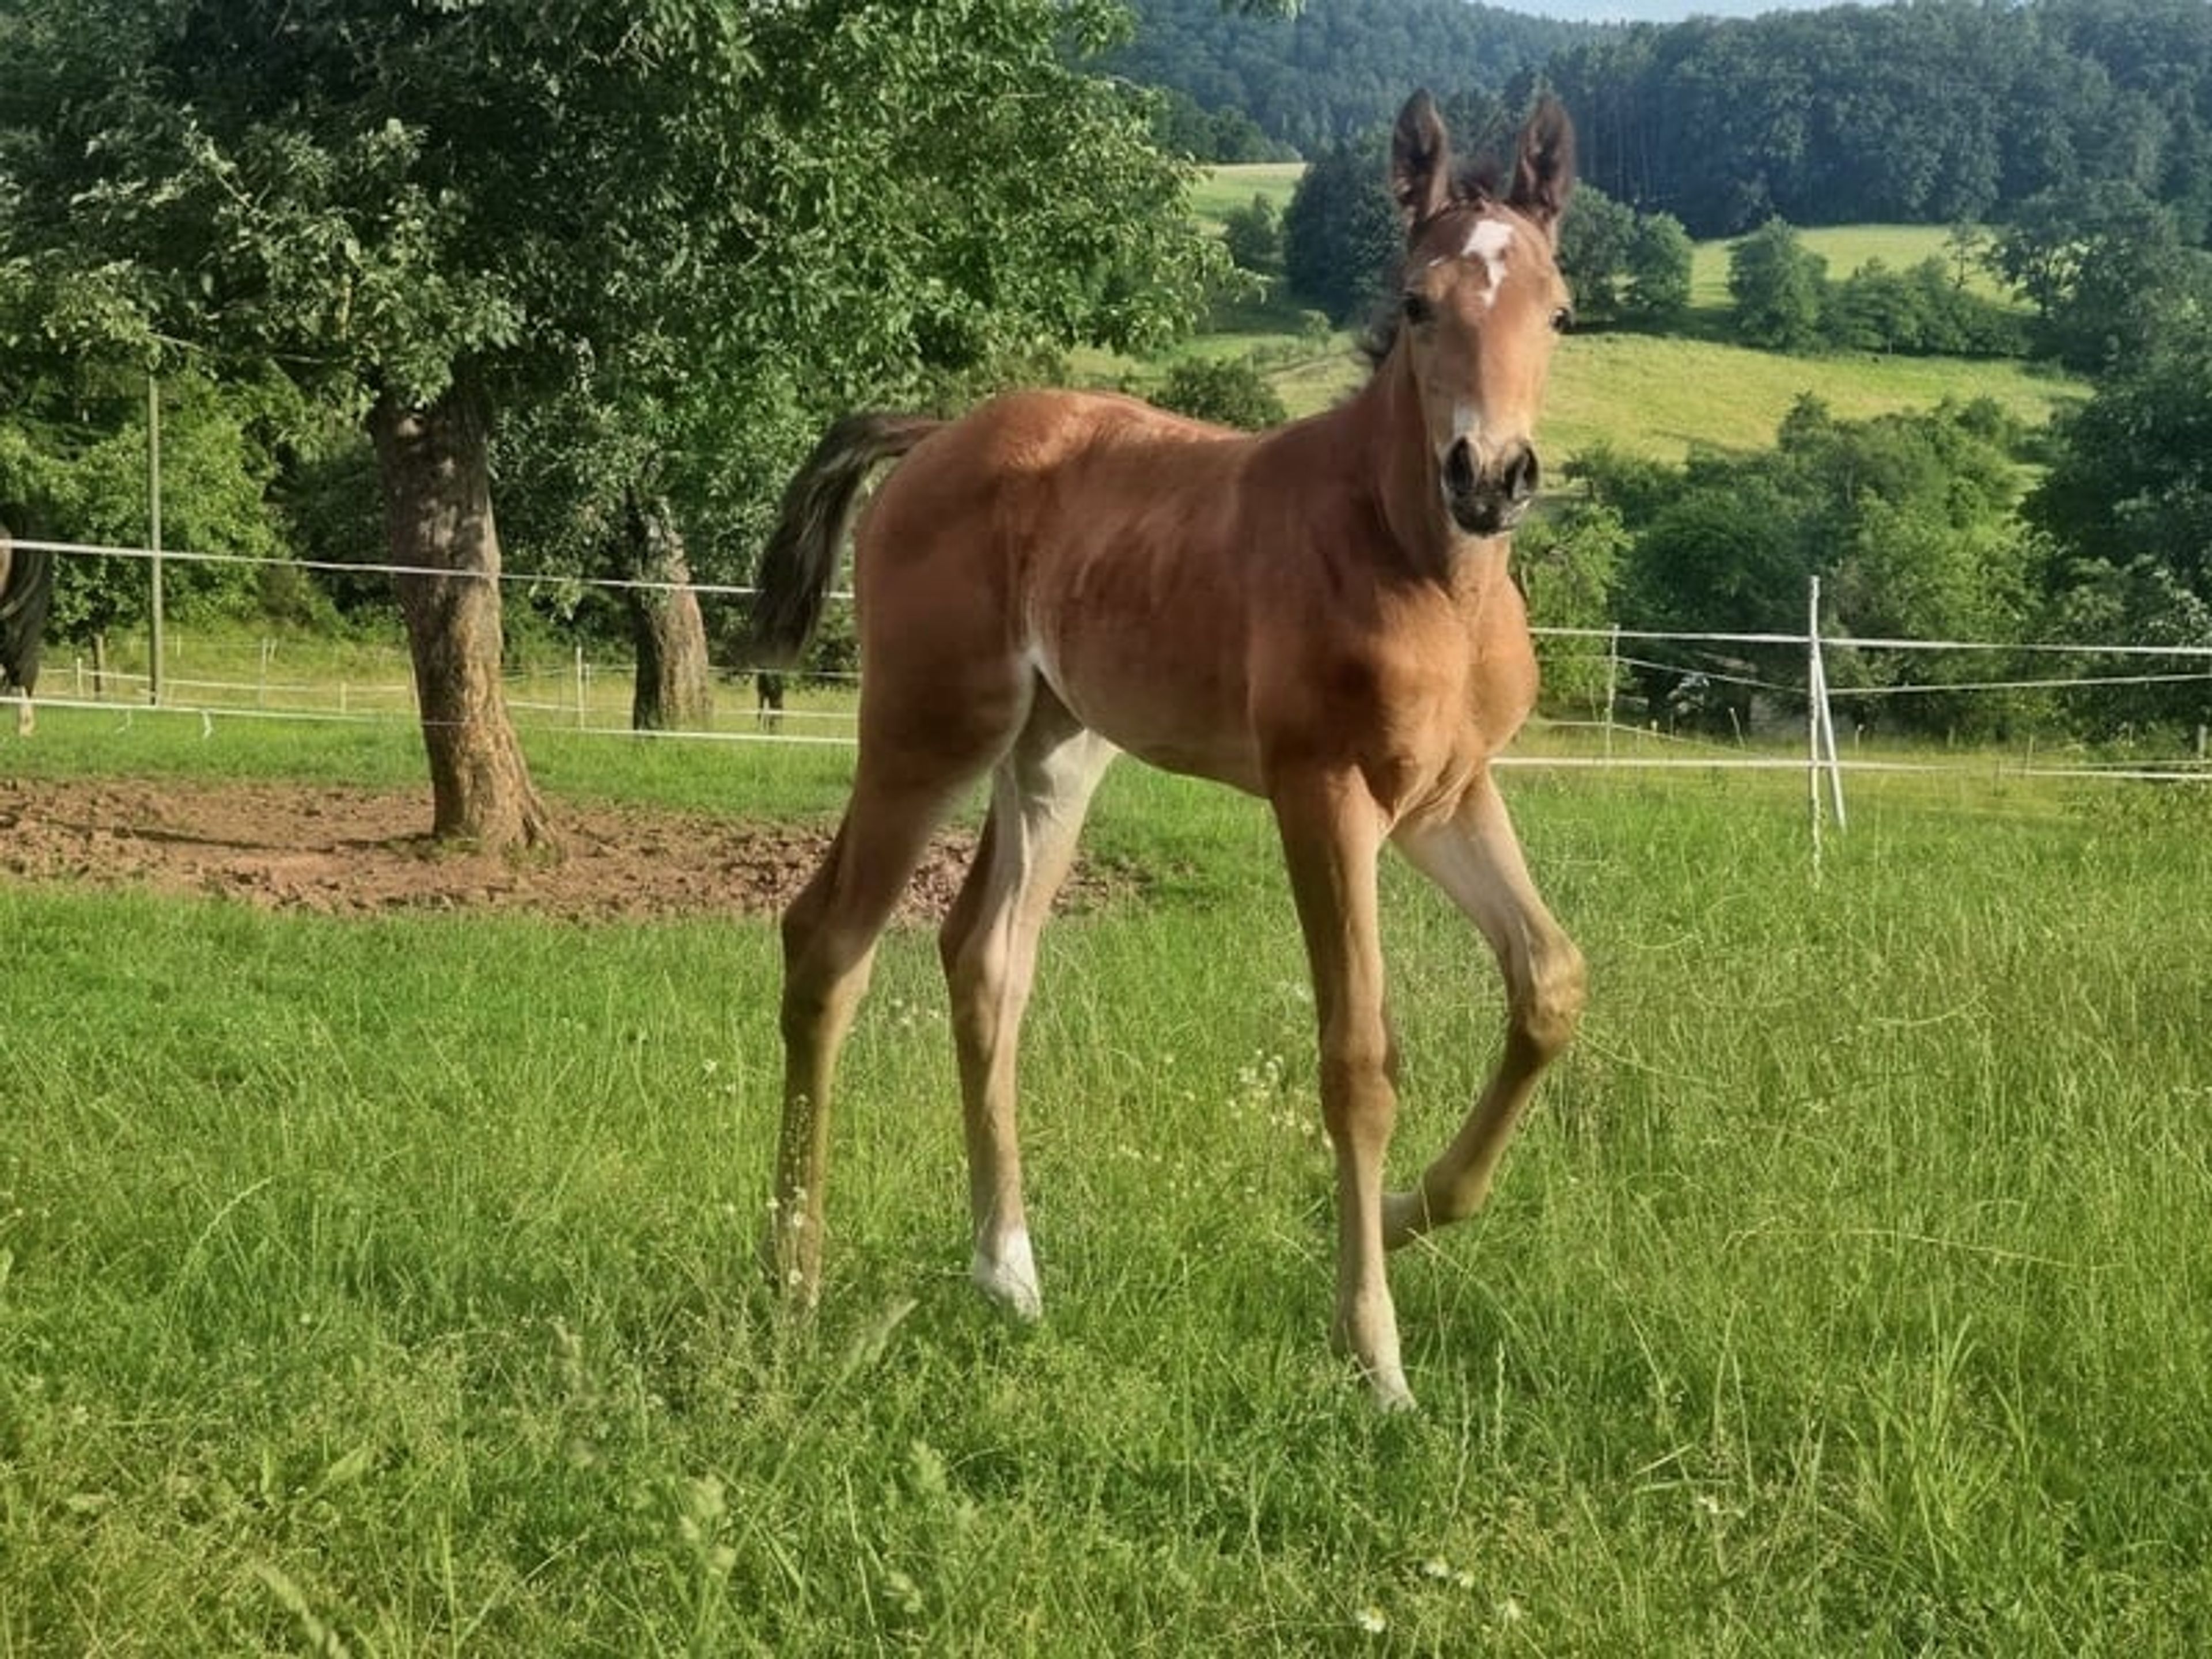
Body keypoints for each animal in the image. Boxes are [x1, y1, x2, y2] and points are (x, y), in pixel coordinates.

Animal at [747, 91, 1583, 1410]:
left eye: (1558, 312)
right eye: (1416, 303)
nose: (1490, 477)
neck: (1415, 563)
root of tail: (938, 434)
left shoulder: (1447, 795)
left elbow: (1549, 984)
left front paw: (1412, 1211)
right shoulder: (1321, 792)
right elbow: (1358, 1056)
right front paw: (1375, 1351)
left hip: (1057, 752)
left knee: (987, 957)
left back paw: (1009, 1274)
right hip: (930, 727)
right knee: (829, 943)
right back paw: (797, 1282)